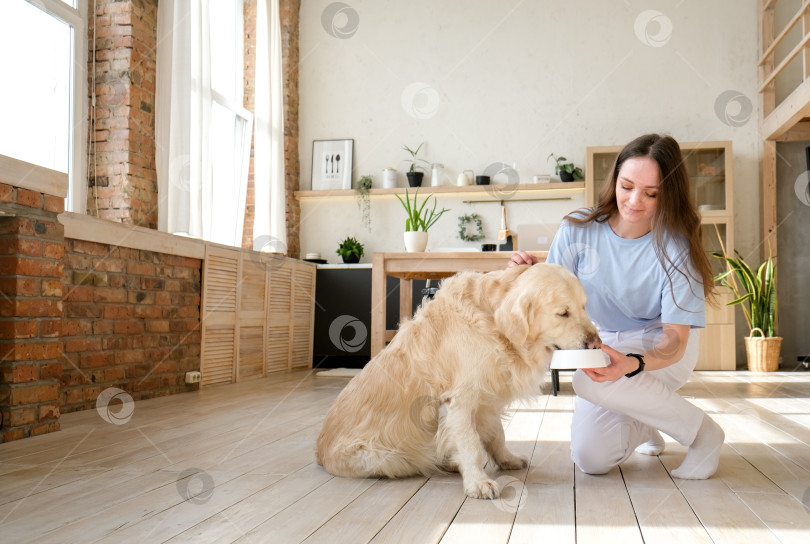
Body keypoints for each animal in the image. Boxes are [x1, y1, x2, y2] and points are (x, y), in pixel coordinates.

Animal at [316, 262, 600, 498]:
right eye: (562, 313)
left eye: (584, 306)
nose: (596, 343)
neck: (491, 322)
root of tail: (319, 453)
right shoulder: (460, 400)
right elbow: (470, 443)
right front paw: (478, 483)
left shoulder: (485, 399)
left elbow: (497, 434)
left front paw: (506, 459)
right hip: (385, 457)